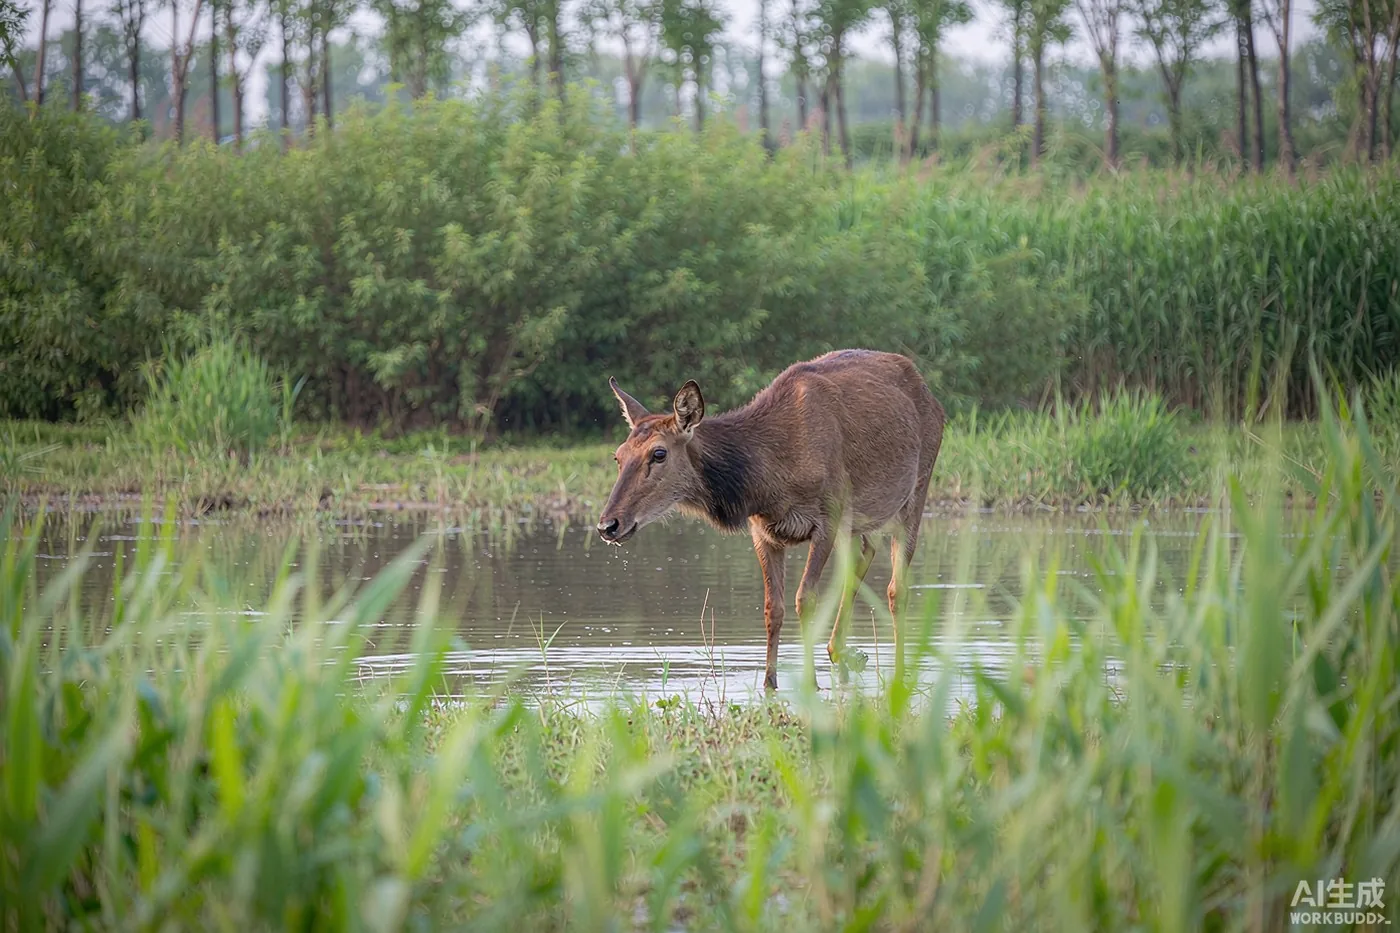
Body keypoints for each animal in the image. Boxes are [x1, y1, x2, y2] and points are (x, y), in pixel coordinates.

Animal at [596, 349, 945, 690]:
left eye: (659, 454)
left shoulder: (827, 519)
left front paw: (810, 683)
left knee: (897, 588)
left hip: (915, 492)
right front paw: (770, 681)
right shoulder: (763, 531)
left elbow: (805, 599)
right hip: (860, 520)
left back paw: (897, 672)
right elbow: (772, 607)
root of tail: (934, 399)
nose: (607, 525)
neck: (767, 479)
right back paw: (840, 654)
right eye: (618, 456)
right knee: (862, 558)